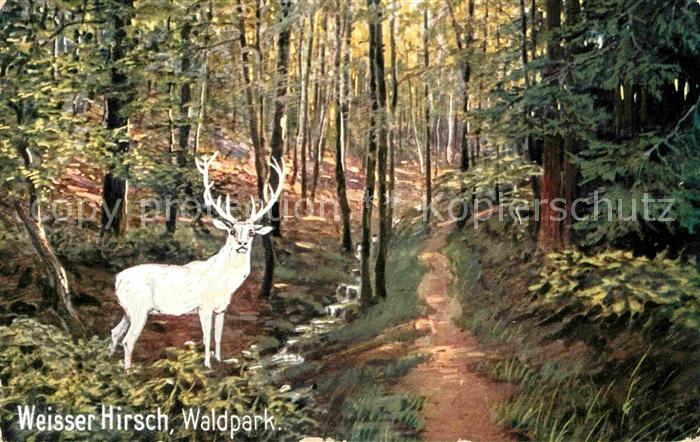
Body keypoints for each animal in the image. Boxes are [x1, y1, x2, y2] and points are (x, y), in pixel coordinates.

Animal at [109, 152, 284, 370]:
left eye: (251, 232)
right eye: (232, 231)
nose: (242, 244)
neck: (225, 283)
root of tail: (117, 280)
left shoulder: (222, 308)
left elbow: (218, 337)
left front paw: (219, 360)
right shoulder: (204, 306)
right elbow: (206, 336)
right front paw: (207, 364)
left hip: (127, 309)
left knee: (115, 332)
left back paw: (109, 360)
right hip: (139, 308)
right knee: (127, 340)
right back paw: (128, 371)